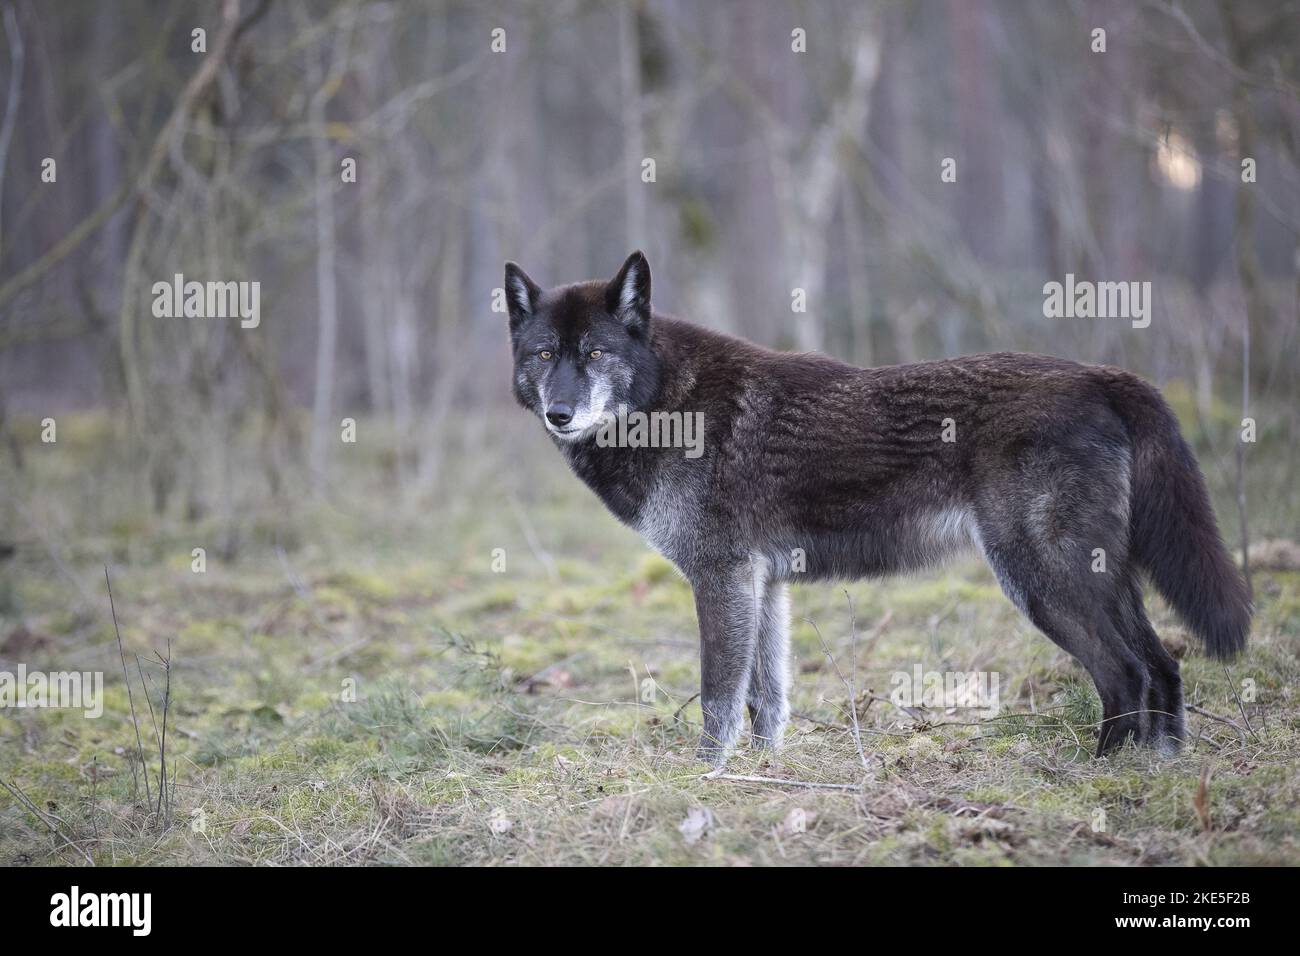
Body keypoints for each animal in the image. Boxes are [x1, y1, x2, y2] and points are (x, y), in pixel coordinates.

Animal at [504, 251, 1248, 764]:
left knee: (1124, 673)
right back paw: (1157, 769)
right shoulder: (763, 585)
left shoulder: (721, 579)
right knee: (1163, 666)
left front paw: (705, 776)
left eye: (595, 351)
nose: (559, 412)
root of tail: (1100, 375)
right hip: (1101, 582)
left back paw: (1095, 774)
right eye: (543, 354)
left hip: (1042, 582)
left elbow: (720, 698)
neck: (666, 403)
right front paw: (763, 774)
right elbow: (768, 698)